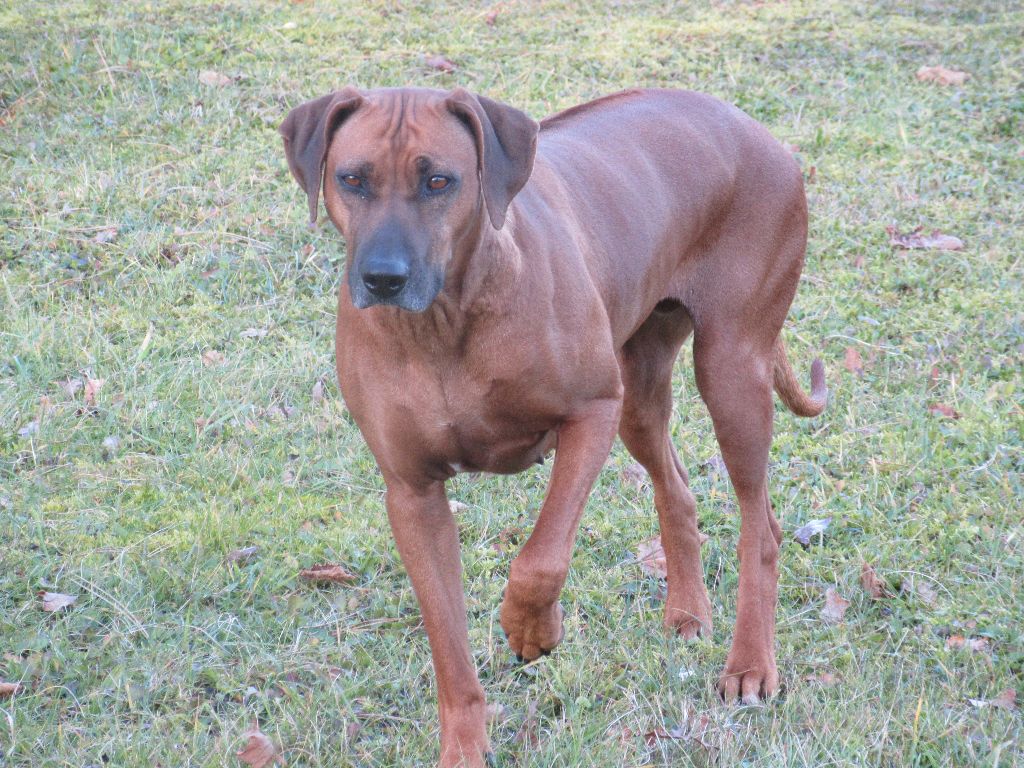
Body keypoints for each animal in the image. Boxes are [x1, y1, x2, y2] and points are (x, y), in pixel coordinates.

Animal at [280, 86, 826, 767]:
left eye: (439, 181)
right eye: (351, 179)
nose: (383, 278)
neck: (443, 323)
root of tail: (760, 133)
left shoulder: (591, 413)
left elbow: (540, 557)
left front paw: (530, 628)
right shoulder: (411, 494)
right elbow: (448, 645)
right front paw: (464, 746)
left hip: (730, 370)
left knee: (762, 524)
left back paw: (750, 662)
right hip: (640, 388)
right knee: (677, 488)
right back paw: (686, 609)